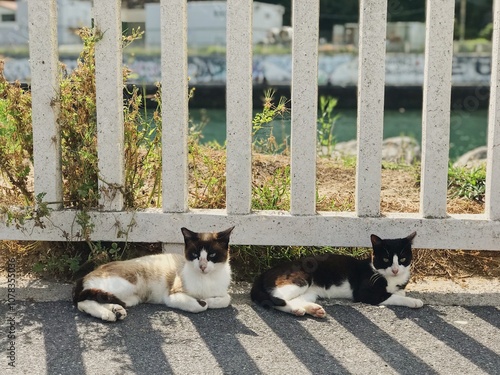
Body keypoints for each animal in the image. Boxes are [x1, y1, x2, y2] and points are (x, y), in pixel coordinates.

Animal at [73, 228, 235, 322]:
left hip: (131, 299)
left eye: (212, 255)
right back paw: (108, 315)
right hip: (125, 286)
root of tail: (85, 275)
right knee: (83, 301)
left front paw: (211, 300)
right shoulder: (172, 296)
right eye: (195, 255)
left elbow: (226, 299)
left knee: (99, 298)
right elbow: (201, 306)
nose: (202, 266)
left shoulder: (222, 292)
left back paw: (116, 311)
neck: (208, 279)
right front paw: (204, 302)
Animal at [250, 232, 422, 318]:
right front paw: (414, 301)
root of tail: (266, 272)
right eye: (386, 259)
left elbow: (399, 292)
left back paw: (309, 309)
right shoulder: (366, 294)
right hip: (300, 280)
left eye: (403, 259)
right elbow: (395, 297)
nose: (395, 269)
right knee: (275, 299)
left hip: (311, 292)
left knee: (292, 300)